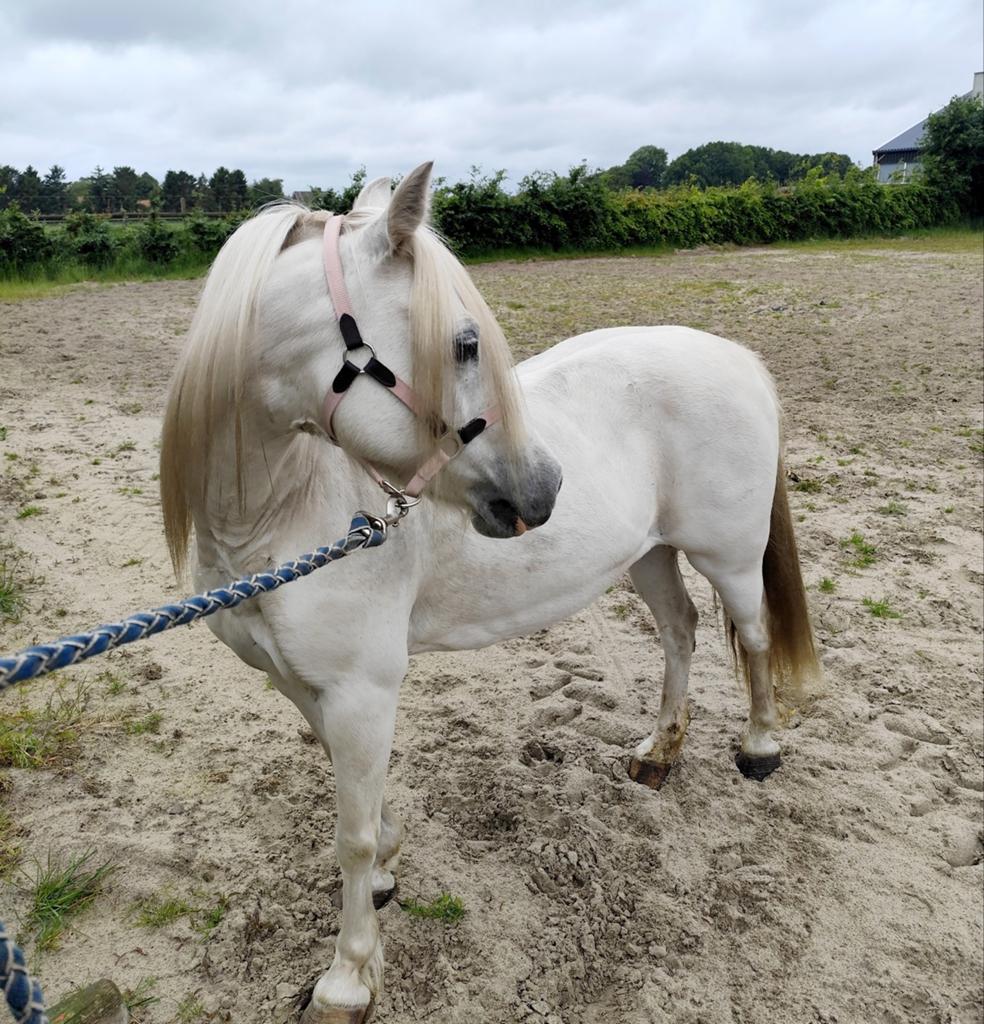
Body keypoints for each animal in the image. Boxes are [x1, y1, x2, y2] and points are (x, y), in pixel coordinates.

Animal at [159, 162, 818, 1023]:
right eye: (466, 344)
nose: (544, 489)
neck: (281, 515)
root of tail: (737, 357)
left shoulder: (361, 689)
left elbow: (350, 834)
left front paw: (349, 976)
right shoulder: (303, 686)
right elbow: (360, 808)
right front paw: (384, 877)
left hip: (729, 558)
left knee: (755, 638)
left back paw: (760, 748)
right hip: (648, 554)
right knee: (680, 632)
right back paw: (658, 756)